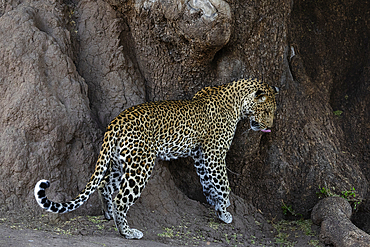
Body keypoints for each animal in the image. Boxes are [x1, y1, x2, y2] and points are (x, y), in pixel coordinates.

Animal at [34, 77, 278, 239]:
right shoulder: (214, 152)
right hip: (140, 165)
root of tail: (116, 122)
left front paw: (216, 205)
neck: (236, 101)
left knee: (105, 186)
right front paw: (225, 210)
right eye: (267, 111)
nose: (270, 127)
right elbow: (223, 183)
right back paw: (128, 232)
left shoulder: (200, 155)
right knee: (121, 197)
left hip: (120, 163)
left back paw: (109, 215)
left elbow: (208, 182)